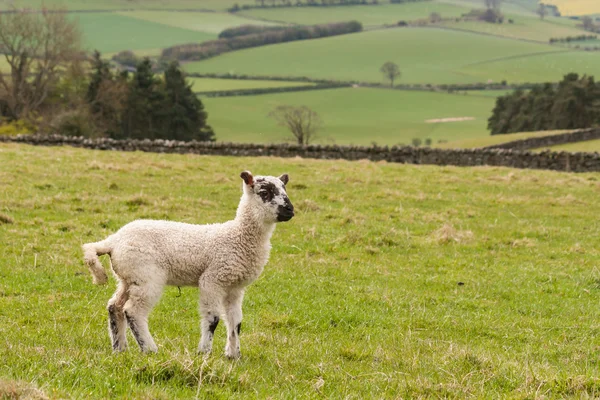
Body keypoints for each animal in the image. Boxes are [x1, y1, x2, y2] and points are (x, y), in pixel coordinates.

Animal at [81, 170, 292, 358]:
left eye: (284, 189)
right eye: (264, 192)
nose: (290, 209)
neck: (237, 236)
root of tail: (113, 241)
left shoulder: (235, 287)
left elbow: (235, 322)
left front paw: (234, 355)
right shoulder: (212, 279)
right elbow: (213, 319)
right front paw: (204, 352)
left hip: (129, 277)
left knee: (114, 306)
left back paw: (120, 348)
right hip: (147, 276)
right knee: (133, 311)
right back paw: (150, 349)